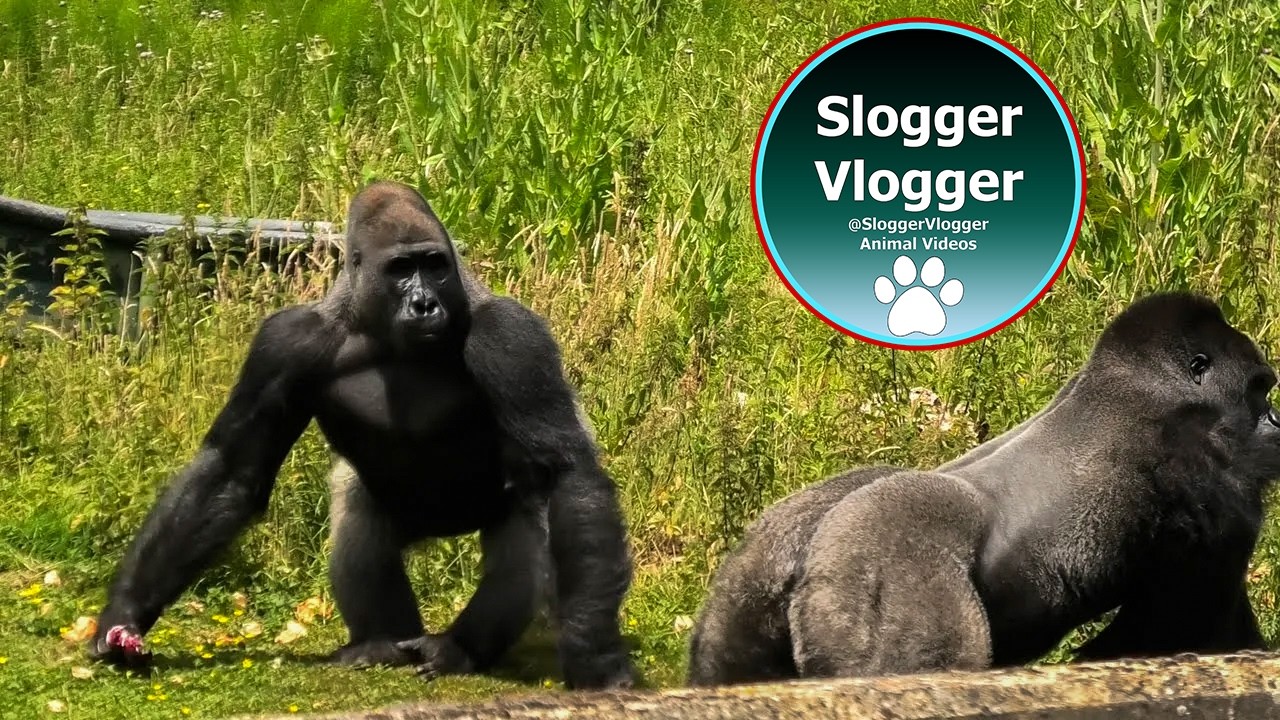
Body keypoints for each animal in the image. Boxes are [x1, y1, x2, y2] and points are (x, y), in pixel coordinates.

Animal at [88, 181, 635, 690]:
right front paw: (127, 612)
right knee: (356, 507)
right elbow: (233, 468)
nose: (424, 303)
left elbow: (564, 472)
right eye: (400, 270)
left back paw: (458, 649)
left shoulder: (512, 336)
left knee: (530, 516)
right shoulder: (286, 342)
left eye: (435, 265)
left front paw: (593, 654)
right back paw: (382, 641)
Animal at [688, 293, 1280, 685]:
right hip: (885, 548)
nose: (1276, 421)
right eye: (1259, 389)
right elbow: (1183, 615)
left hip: (754, 574)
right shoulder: (1205, 471)